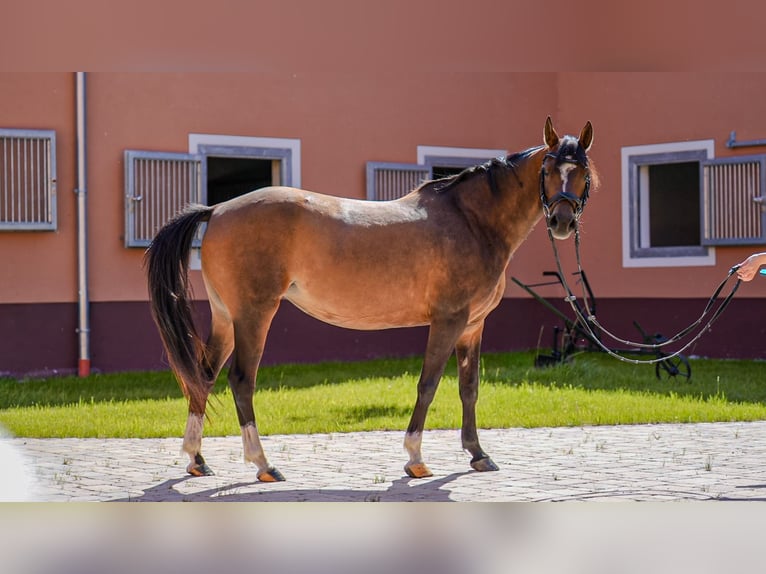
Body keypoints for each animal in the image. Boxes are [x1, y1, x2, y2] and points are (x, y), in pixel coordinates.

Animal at [145, 116, 596, 481]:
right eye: (549, 168)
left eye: (583, 172)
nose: (562, 221)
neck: (471, 221)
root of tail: (217, 208)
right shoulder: (448, 321)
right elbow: (429, 383)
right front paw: (415, 459)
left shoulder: (473, 325)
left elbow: (469, 387)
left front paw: (477, 454)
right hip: (253, 315)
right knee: (241, 380)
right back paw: (263, 464)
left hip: (225, 317)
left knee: (203, 376)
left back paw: (197, 460)